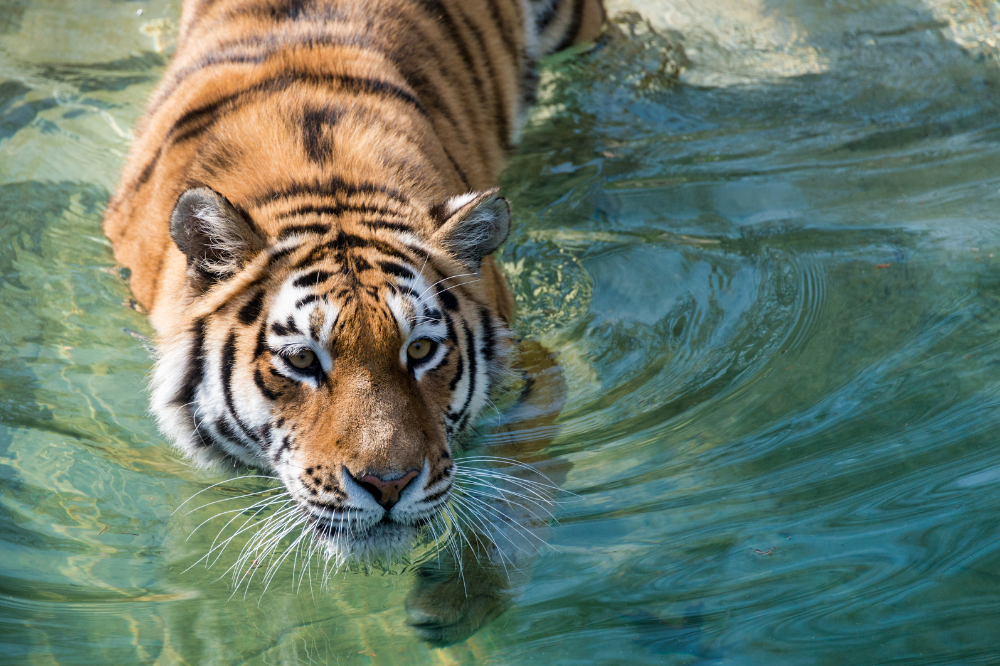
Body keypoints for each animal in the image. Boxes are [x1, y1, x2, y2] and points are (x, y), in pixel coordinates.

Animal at [103, 0, 603, 644]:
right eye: (301, 360)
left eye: (420, 351)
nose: (389, 485)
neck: (327, 184)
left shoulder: (533, 367)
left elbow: (521, 485)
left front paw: (457, 596)